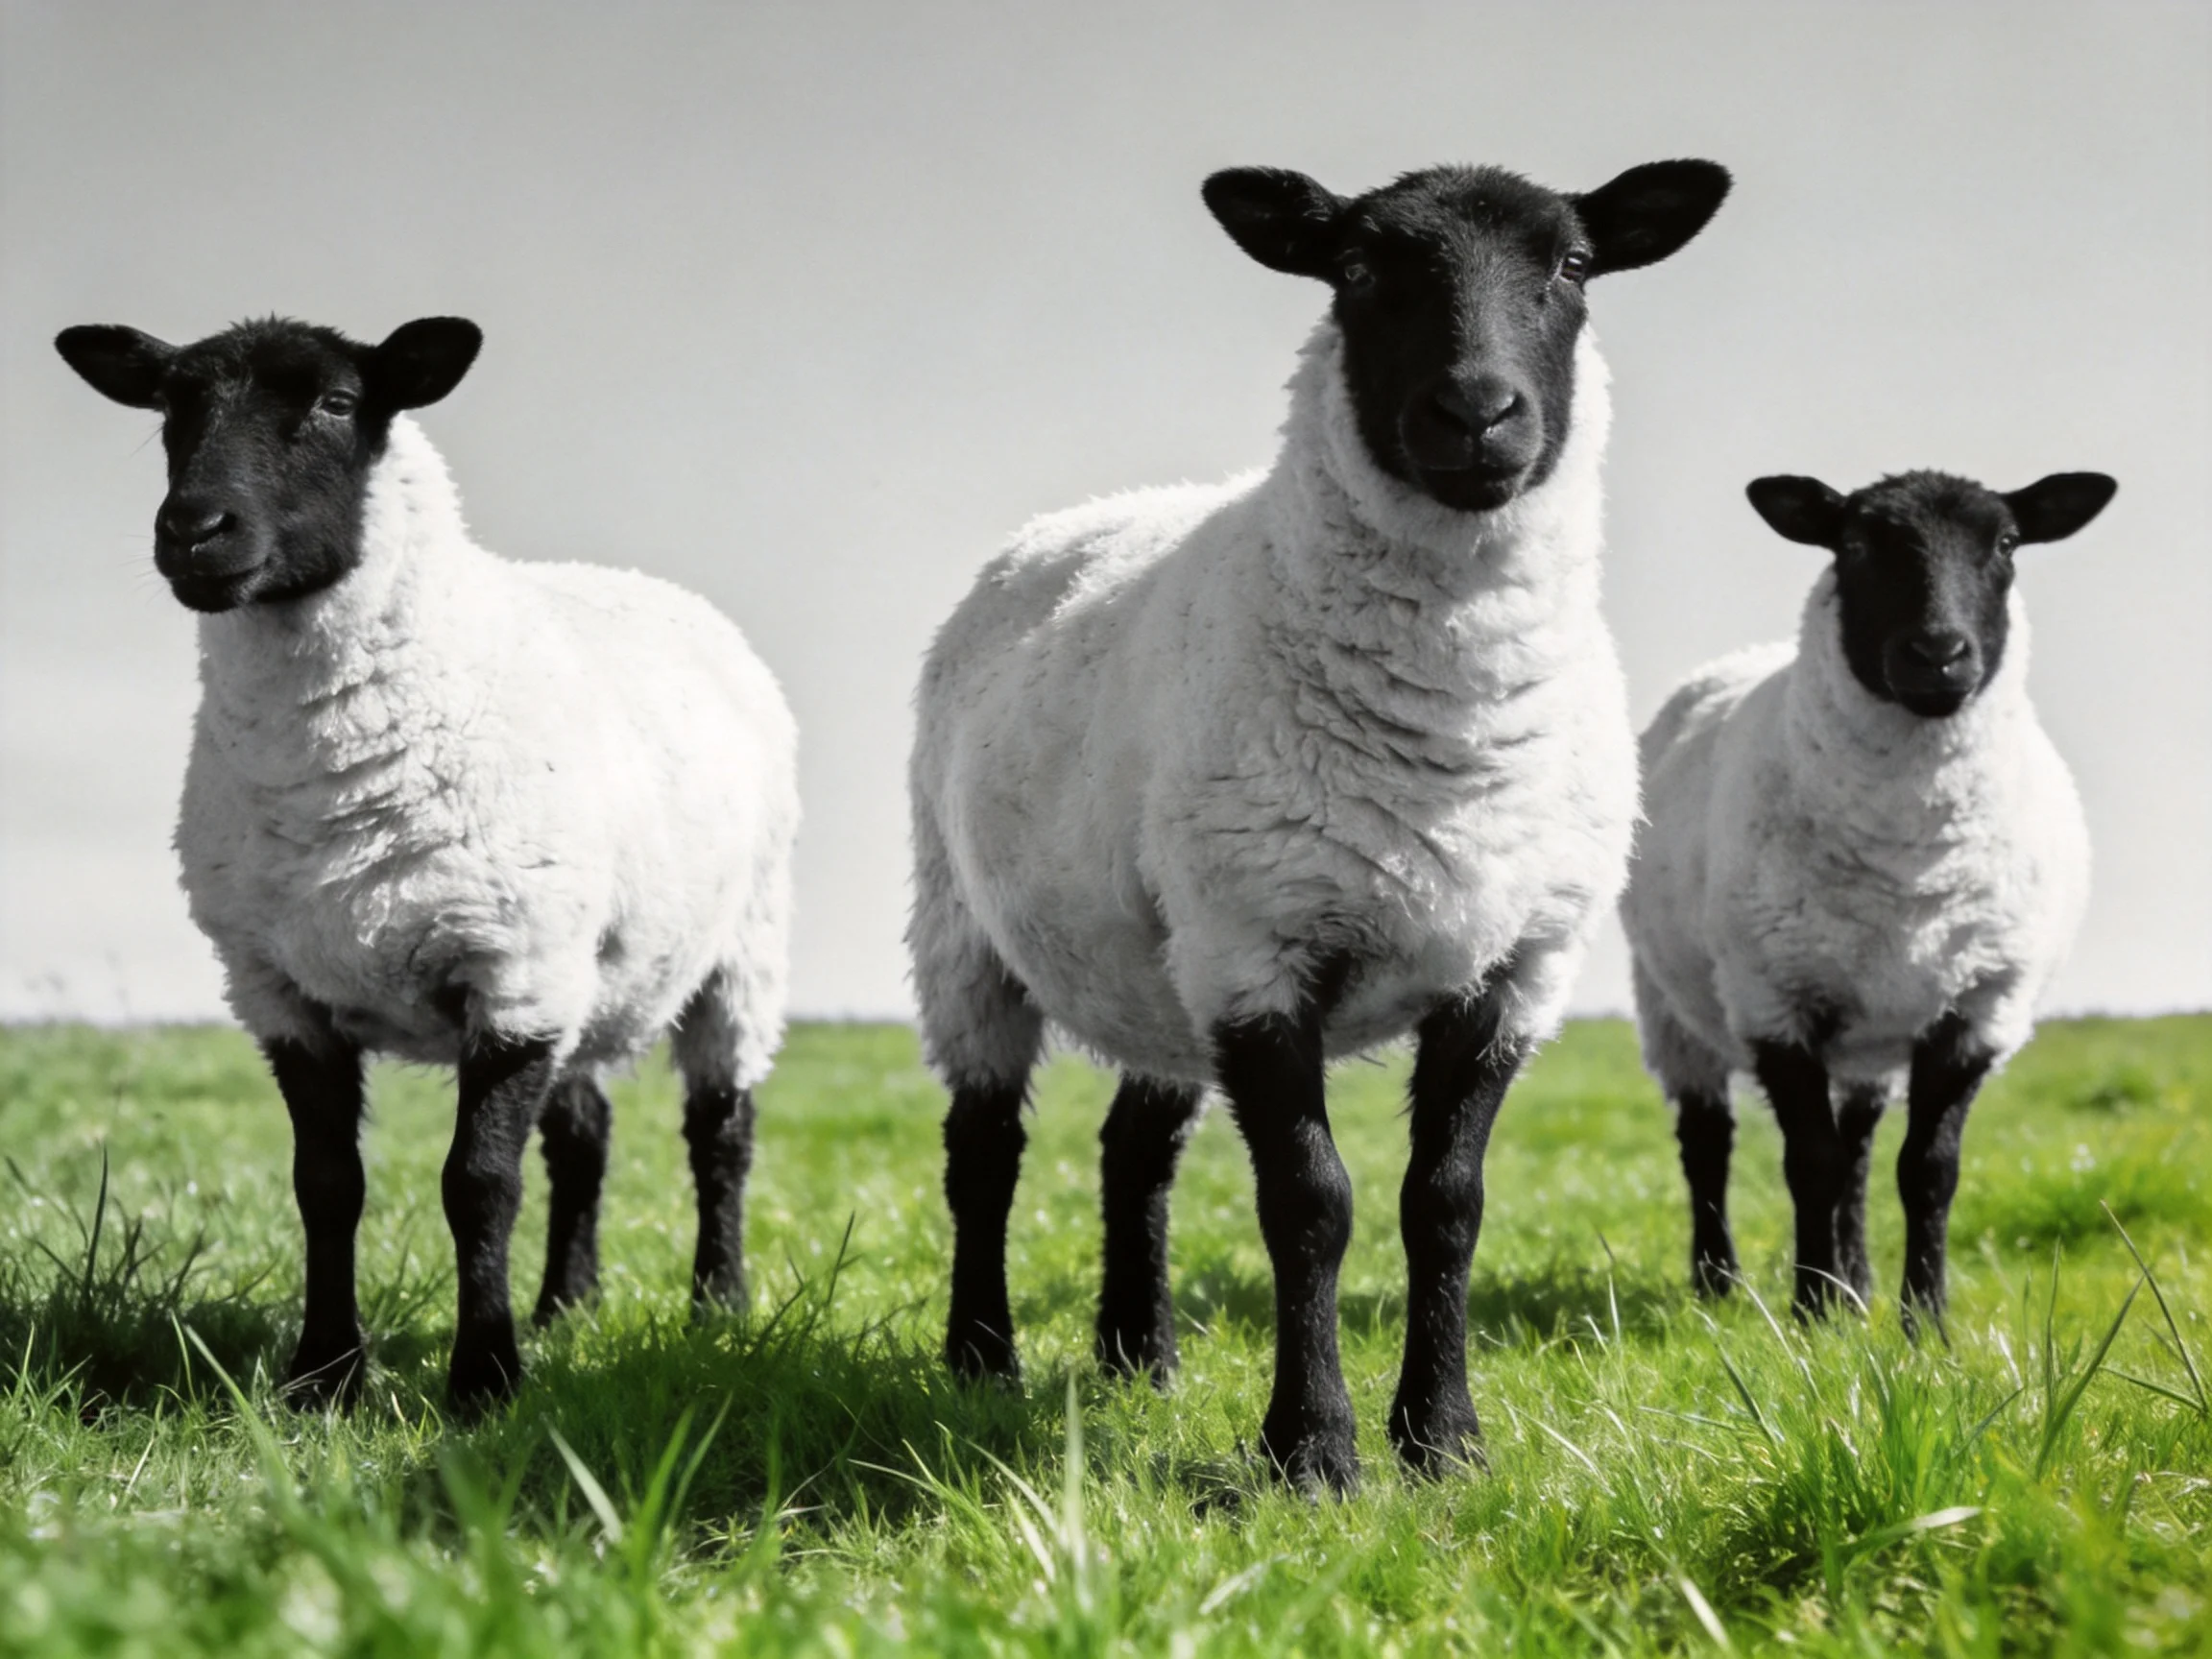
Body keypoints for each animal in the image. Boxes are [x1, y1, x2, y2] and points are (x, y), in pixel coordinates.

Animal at [53, 315, 798, 1410]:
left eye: (335, 403)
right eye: (170, 408)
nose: (193, 530)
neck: (336, 780)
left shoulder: (510, 975)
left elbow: (479, 1184)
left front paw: (484, 1378)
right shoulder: (279, 993)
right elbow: (326, 1185)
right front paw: (322, 1377)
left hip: (738, 951)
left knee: (721, 1135)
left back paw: (718, 1307)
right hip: (582, 964)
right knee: (584, 1138)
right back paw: (566, 1306)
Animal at [909, 159, 1731, 1491]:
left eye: (1571, 265)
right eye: (1355, 268)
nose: (1478, 414)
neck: (1449, 729)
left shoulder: (1516, 966)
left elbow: (1445, 1203)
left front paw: (1443, 1439)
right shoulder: (1260, 952)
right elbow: (1310, 1203)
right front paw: (1314, 1452)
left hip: (1162, 958)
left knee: (1133, 1149)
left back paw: (1139, 1356)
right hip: (965, 933)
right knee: (983, 1151)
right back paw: (983, 1359)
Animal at [1621, 468, 2112, 1329]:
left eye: (2007, 542)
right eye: (1852, 543)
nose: (1938, 653)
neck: (1906, 863)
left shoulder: (1980, 1006)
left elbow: (1926, 1168)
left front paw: (1924, 1321)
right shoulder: (1774, 999)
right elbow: (1807, 1162)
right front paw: (1812, 1313)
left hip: (1871, 1025)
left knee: (1857, 1142)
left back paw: (1859, 1286)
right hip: (1670, 1003)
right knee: (1707, 1139)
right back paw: (1720, 1281)